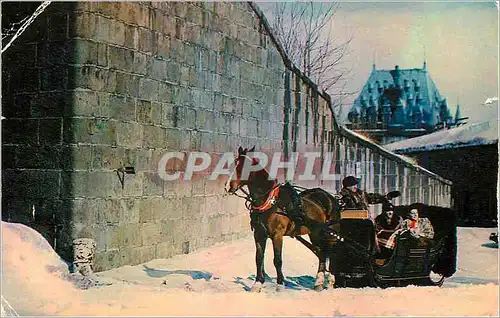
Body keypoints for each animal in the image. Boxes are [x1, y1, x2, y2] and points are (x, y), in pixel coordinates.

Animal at [226, 146, 340, 290]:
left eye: (244, 167)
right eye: (233, 164)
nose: (228, 186)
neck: (270, 201)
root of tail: (331, 198)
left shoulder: (277, 234)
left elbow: (277, 260)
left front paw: (280, 285)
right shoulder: (259, 234)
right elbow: (258, 258)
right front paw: (258, 284)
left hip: (328, 232)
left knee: (331, 252)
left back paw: (330, 280)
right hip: (314, 233)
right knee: (321, 253)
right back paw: (318, 282)